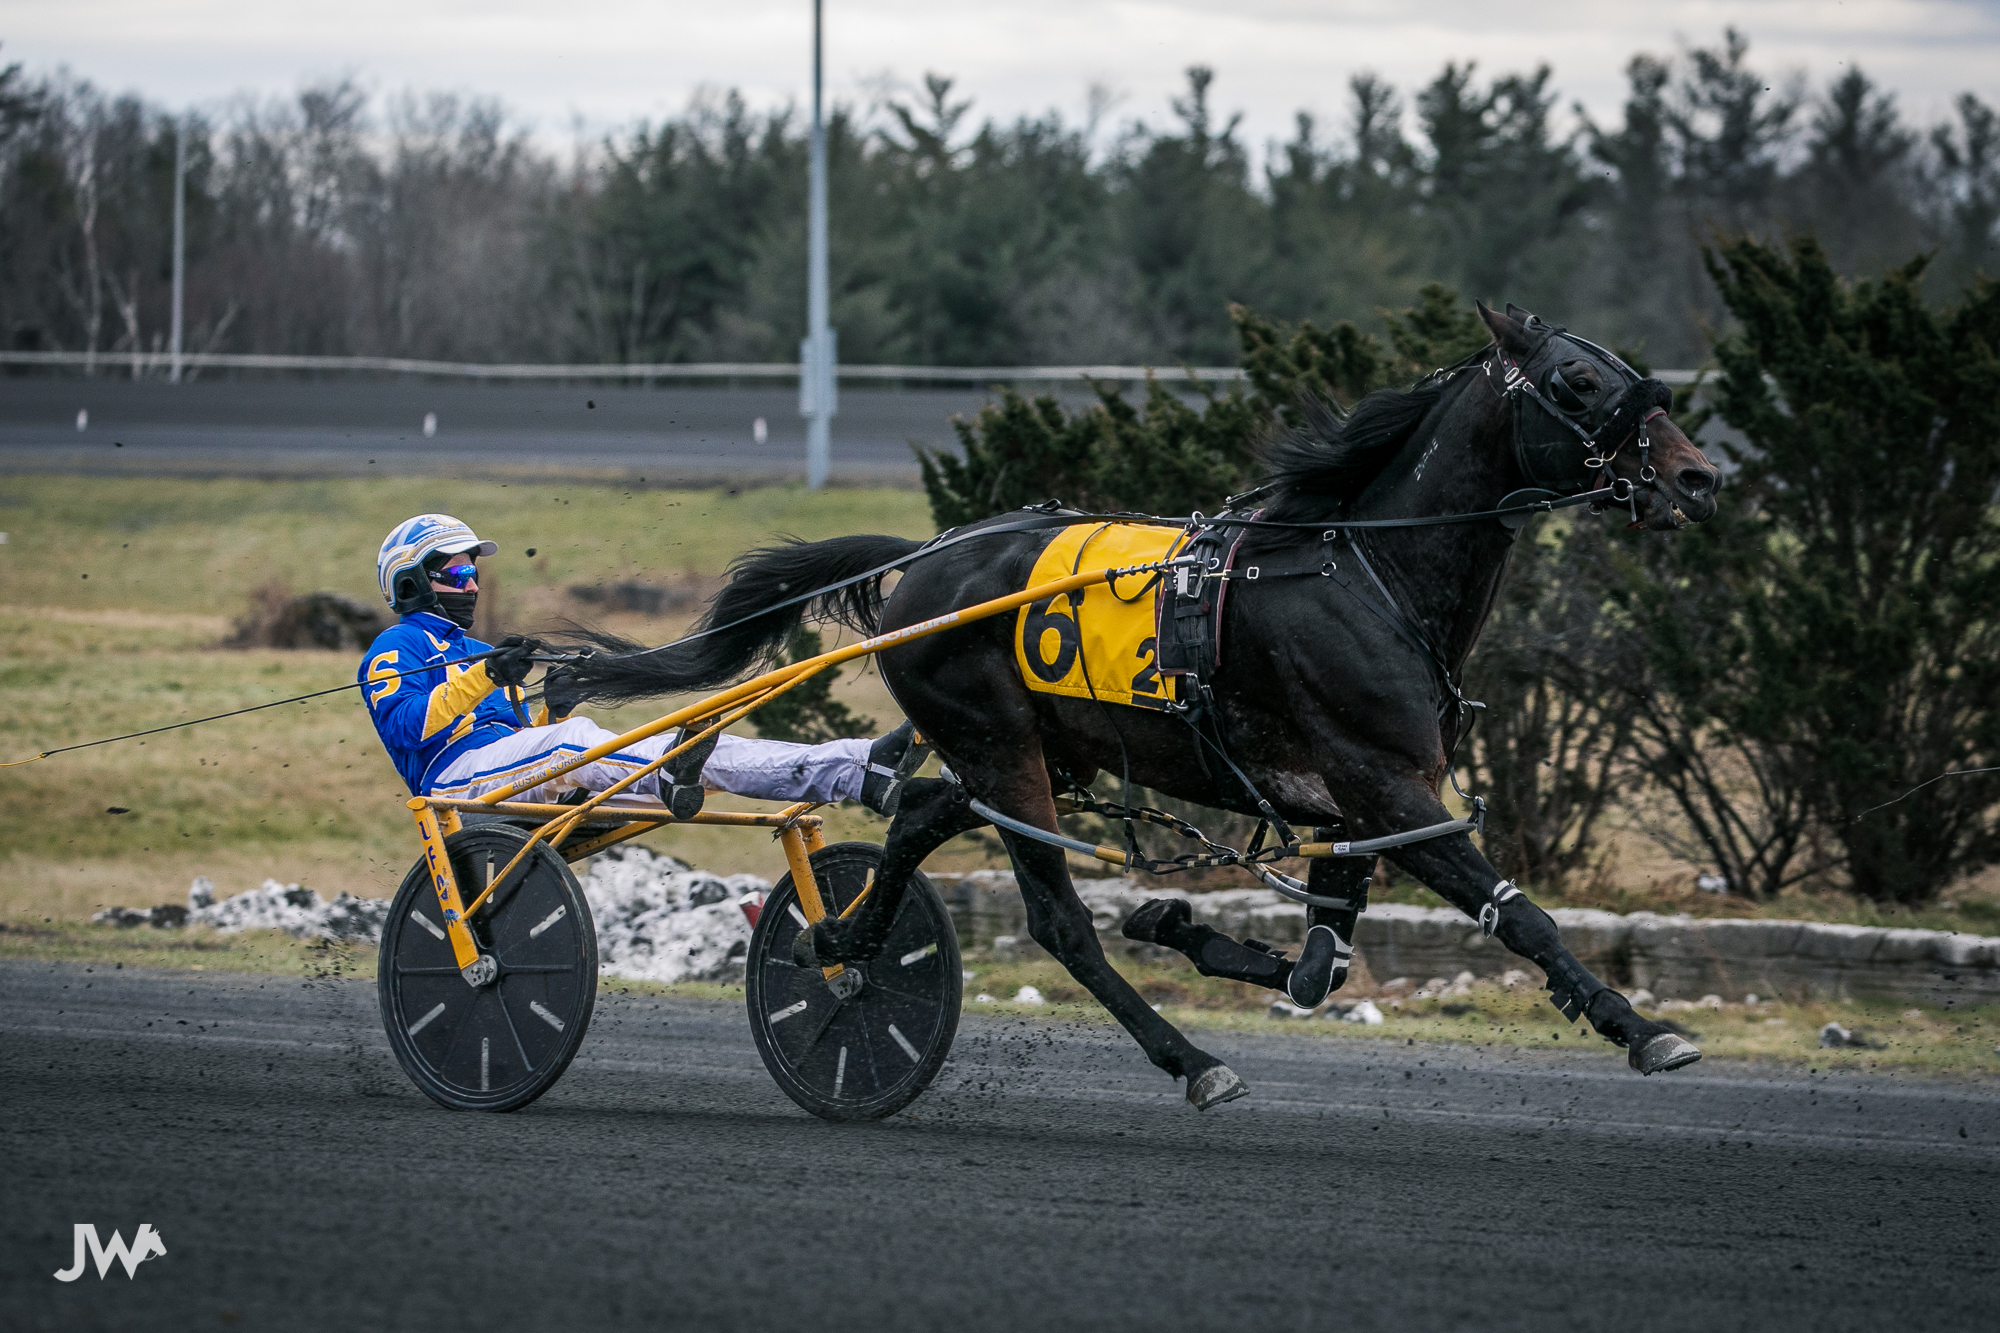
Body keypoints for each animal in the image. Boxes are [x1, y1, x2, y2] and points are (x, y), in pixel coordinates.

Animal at [550, 302, 1722, 1108]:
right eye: (1577, 379)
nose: (1699, 477)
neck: (1363, 576)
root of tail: (928, 558)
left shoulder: (1352, 801)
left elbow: (1318, 966)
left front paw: (1179, 920)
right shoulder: (1386, 786)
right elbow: (1515, 911)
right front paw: (1635, 1024)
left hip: (1025, 752)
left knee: (918, 815)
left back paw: (843, 941)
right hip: (1002, 747)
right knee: (1055, 920)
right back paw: (1189, 1059)